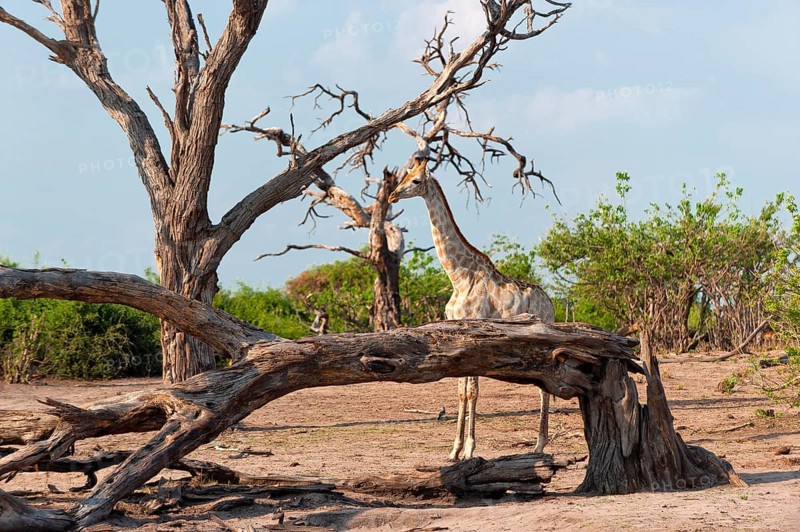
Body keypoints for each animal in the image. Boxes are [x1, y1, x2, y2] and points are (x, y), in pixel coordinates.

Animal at [388, 155, 555, 460]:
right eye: (403, 176)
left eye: (415, 180)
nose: (393, 195)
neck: (458, 276)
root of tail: (550, 302)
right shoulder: (458, 336)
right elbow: (460, 390)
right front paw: (454, 450)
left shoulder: (476, 334)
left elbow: (472, 391)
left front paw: (469, 449)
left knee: (543, 387)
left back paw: (539, 445)